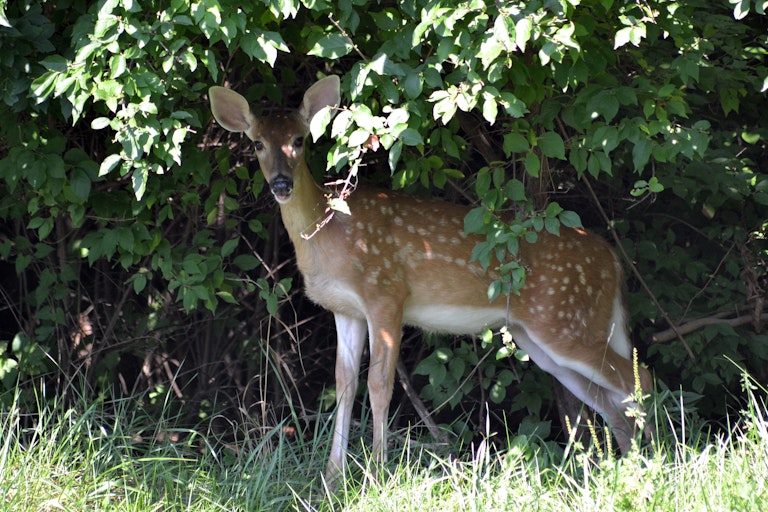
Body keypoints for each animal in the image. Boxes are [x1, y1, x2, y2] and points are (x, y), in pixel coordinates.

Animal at [208, 75, 653, 482]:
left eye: (299, 140)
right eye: (257, 144)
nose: (281, 183)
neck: (329, 232)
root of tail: (612, 259)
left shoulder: (386, 293)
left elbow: (380, 385)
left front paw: (376, 474)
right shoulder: (346, 310)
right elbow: (344, 385)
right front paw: (333, 477)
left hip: (564, 319)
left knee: (638, 378)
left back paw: (657, 465)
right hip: (539, 337)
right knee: (611, 400)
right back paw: (624, 468)